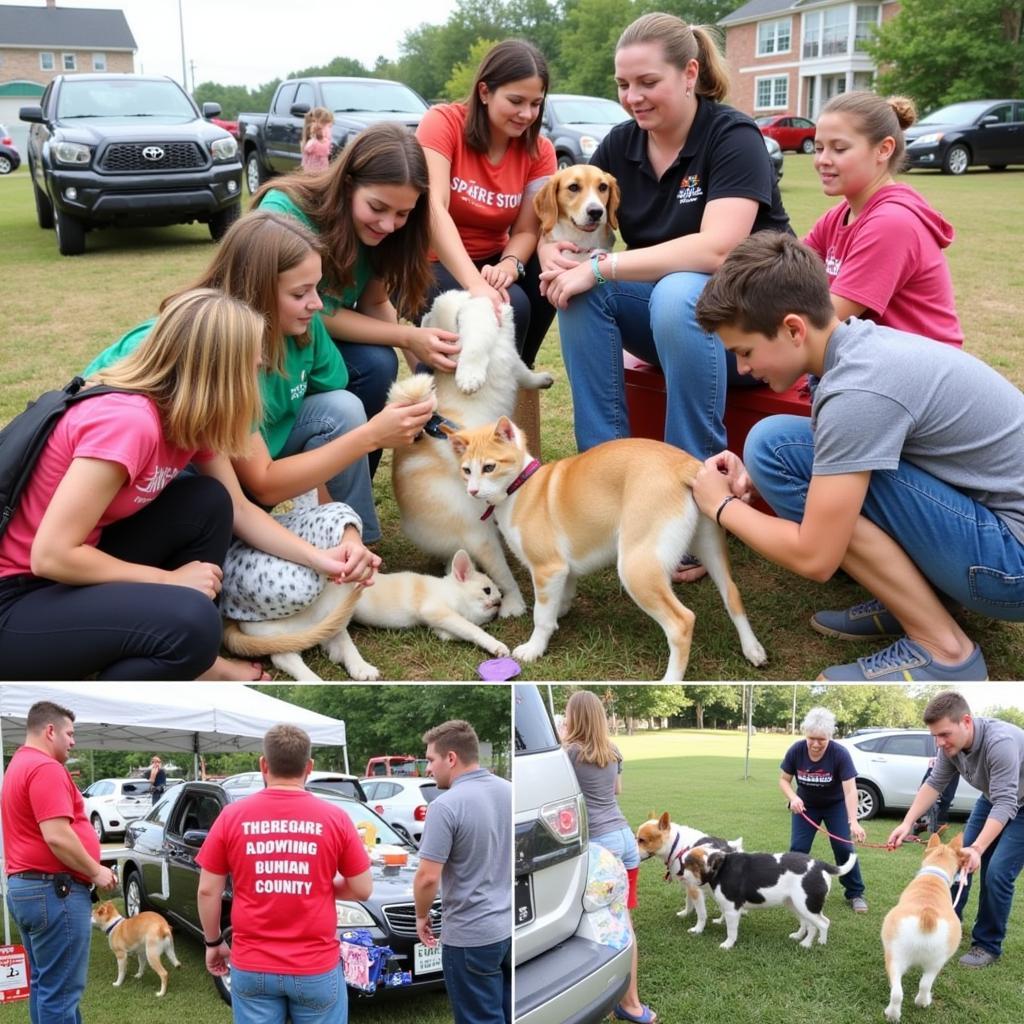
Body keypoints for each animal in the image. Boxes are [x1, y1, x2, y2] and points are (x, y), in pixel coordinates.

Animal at [446, 415, 770, 679]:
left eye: (489, 467)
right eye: (466, 470)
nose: (472, 491)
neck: (521, 487)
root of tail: (685, 466)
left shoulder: (547, 568)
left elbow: (541, 615)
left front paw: (534, 648)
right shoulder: (563, 570)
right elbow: (560, 598)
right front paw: (560, 614)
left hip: (636, 568)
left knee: (682, 623)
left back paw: (670, 680)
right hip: (709, 545)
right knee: (732, 595)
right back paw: (753, 649)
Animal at [684, 843, 860, 946]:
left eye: (688, 865)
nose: (680, 875)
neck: (721, 866)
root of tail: (820, 864)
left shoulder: (733, 909)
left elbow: (731, 930)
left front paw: (728, 944)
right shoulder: (728, 907)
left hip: (806, 906)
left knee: (822, 924)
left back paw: (814, 944)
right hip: (796, 905)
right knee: (809, 923)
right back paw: (799, 937)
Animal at [880, 831, 966, 1015]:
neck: (934, 875)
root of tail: (927, 919)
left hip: (894, 955)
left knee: (898, 990)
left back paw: (892, 1013)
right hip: (936, 961)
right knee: (924, 984)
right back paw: (920, 1003)